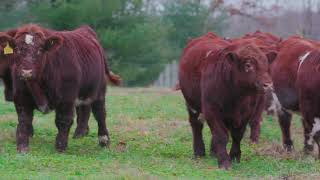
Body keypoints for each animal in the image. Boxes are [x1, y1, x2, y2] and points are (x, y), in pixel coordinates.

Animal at [0, 23, 121, 153]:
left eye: (40, 49)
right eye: (17, 49)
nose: (26, 72)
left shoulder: (66, 98)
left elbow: (63, 119)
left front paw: (60, 146)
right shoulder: (21, 97)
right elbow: (24, 120)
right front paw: (22, 147)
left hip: (99, 90)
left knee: (100, 113)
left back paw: (103, 140)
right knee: (85, 109)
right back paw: (80, 133)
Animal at [179, 33, 274, 169]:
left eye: (266, 64)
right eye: (248, 65)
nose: (268, 84)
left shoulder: (247, 113)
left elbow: (237, 135)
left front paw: (234, 157)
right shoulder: (211, 110)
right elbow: (221, 135)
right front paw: (224, 161)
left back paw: (214, 152)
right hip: (192, 104)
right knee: (196, 125)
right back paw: (199, 152)